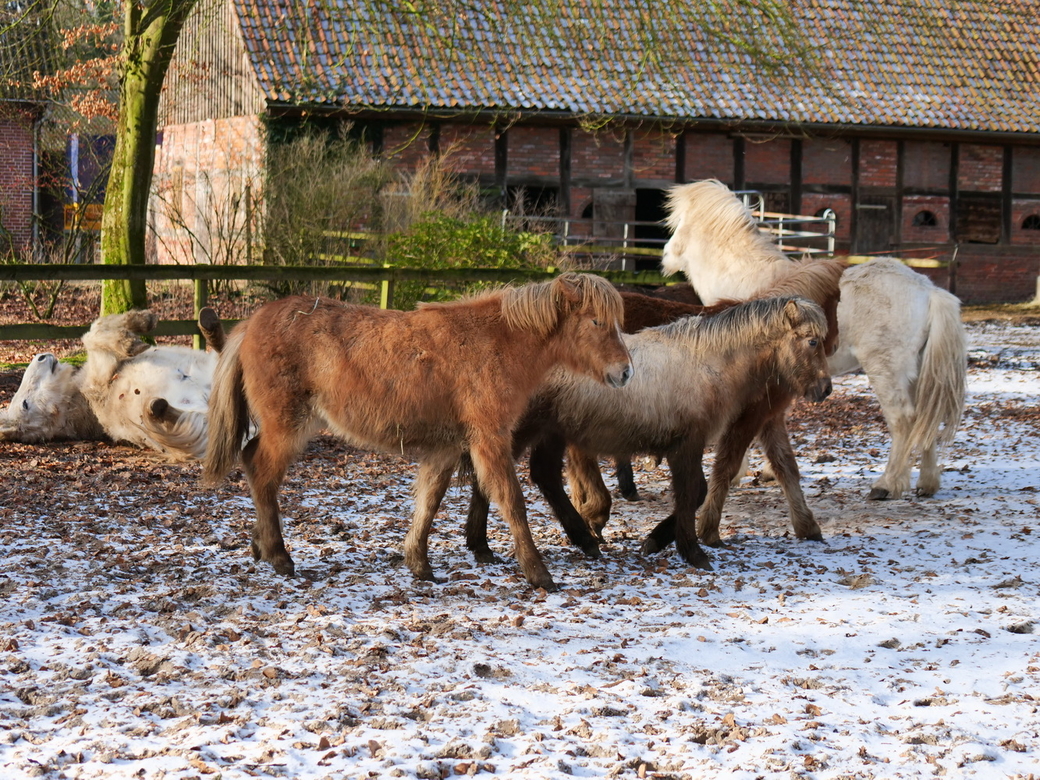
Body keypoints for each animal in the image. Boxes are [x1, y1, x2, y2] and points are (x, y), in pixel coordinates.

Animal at [0, 309, 225, 461]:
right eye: (25, 404)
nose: (40, 356)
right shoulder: (102, 374)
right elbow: (93, 335)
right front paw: (131, 338)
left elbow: (97, 327)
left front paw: (140, 321)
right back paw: (156, 409)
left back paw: (211, 327)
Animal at [198, 274, 628, 590]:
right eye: (596, 321)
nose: (625, 372)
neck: (494, 341)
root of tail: (251, 322)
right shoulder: (490, 440)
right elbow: (511, 501)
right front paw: (538, 574)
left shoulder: (446, 448)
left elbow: (429, 502)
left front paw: (418, 563)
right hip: (287, 425)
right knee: (262, 472)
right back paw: (278, 555)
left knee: (253, 464)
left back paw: (259, 545)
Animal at [661, 180, 969, 501]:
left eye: (677, 224)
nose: (664, 256)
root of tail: (927, 289)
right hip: (917, 373)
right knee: (925, 418)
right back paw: (927, 483)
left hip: (886, 371)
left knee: (904, 420)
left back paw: (887, 484)